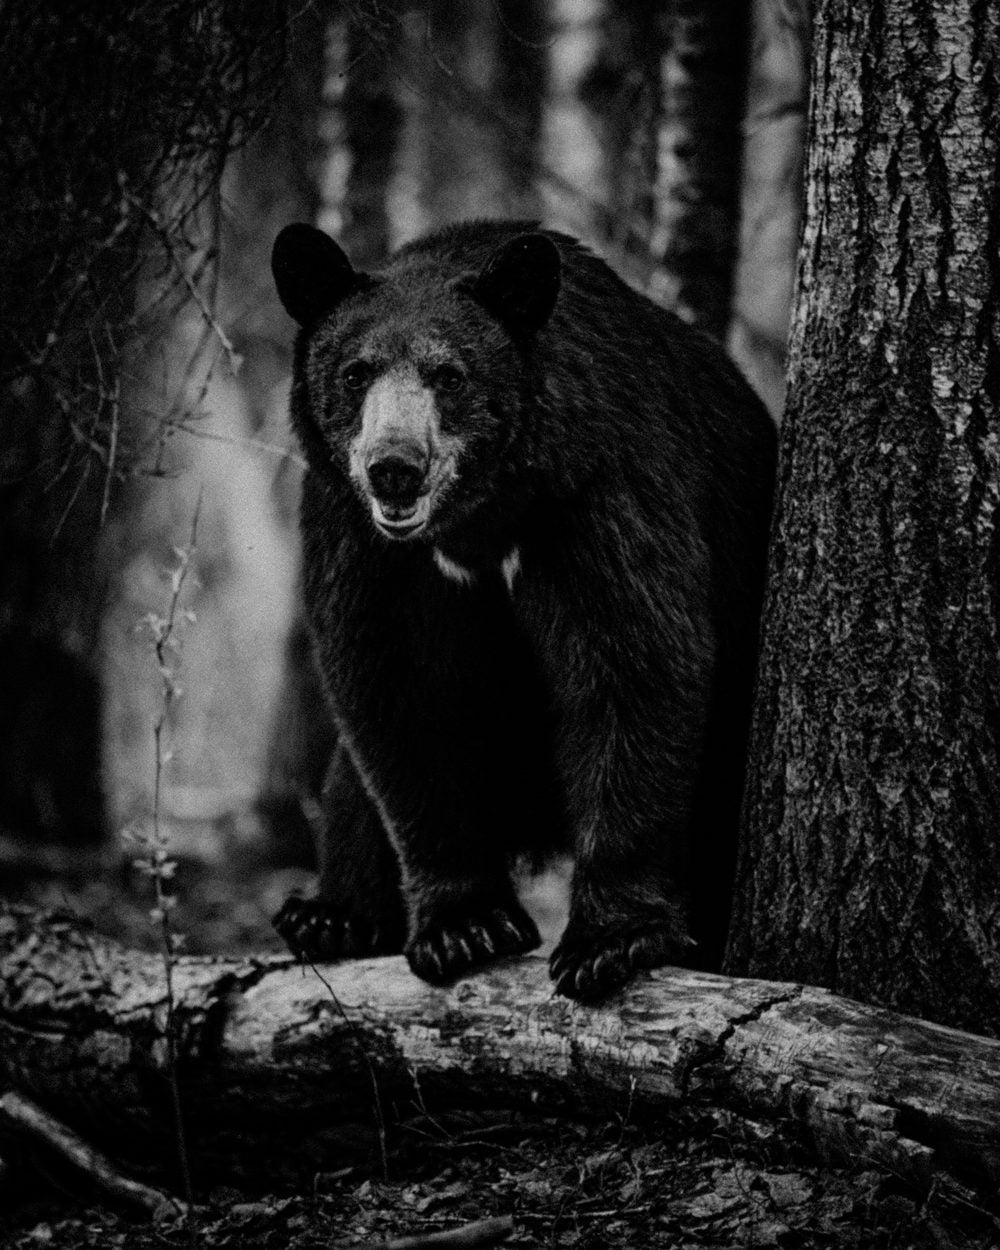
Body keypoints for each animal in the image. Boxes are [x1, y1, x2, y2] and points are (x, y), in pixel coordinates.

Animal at [270, 220, 777, 1000]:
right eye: (356, 373)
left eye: (449, 375)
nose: (394, 468)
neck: (477, 521)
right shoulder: (363, 542)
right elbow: (395, 695)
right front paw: (465, 925)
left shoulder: (596, 489)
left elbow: (634, 661)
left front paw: (609, 940)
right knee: (351, 785)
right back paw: (329, 915)